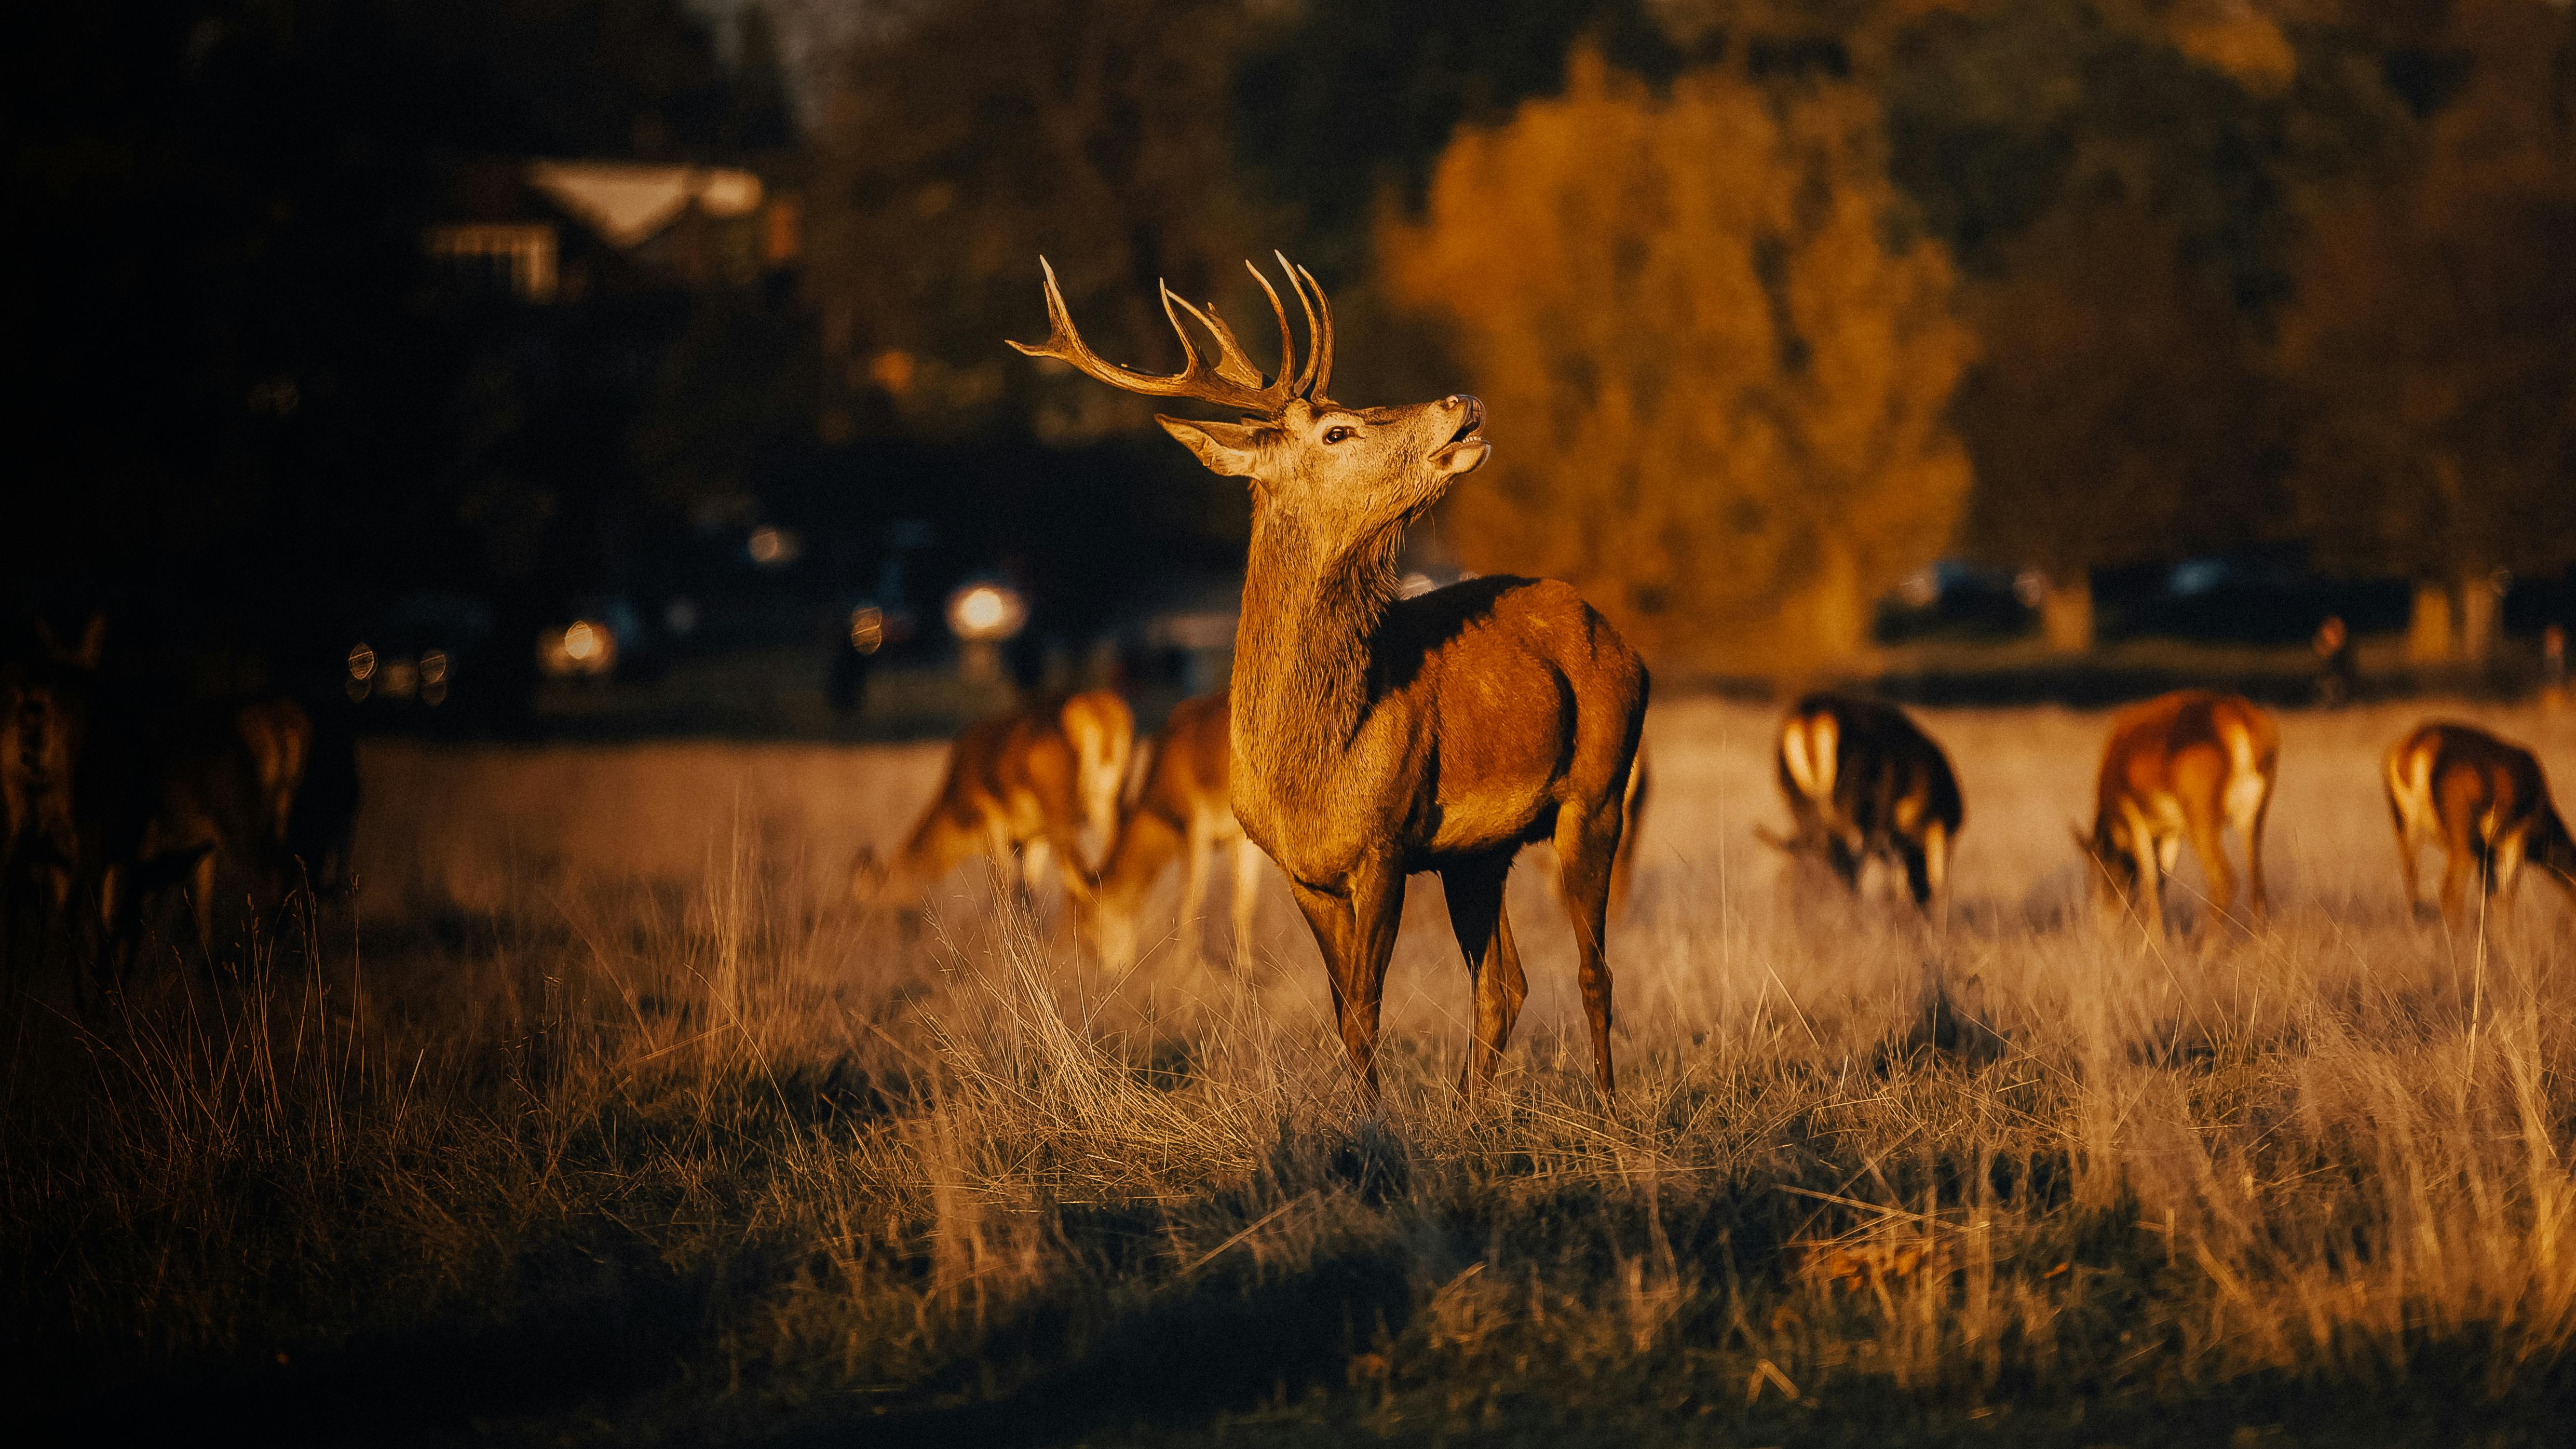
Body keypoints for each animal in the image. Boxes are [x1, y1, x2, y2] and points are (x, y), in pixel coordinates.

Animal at [850, 686, 1133, 908]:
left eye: (865, 892)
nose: (853, 919)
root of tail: (1090, 707)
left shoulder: (992, 827)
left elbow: (1000, 891)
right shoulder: (1035, 837)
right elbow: (1026, 892)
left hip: (1063, 820)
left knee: (1082, 879)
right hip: (1107, 806)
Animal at [1010, 256, 1648, 1093]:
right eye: (1337, 429)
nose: (1462, 401)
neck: (1313, 762)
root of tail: (1620, 640)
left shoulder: (1384, 842)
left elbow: (1366, 1010)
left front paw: (1376, 1120)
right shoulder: (1303, 869)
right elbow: (1345, 1015)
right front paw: (1367, 1113)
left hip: (1598, 788)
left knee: (1593, 971)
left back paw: (1605, 1109)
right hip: (1479, 850)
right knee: (1503, 985)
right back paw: (1471, 1110)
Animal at [1762, 690, 1958, 913]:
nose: (1923, 909)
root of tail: (1811, 712)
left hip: (1806, 805)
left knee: (1825, 848)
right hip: (1843, 807)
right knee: (1845, 856)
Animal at [2071, 686, 2277, 928]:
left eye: (2101, 869)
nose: (2107, 920)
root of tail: (2229, 714)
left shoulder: (2135, 823)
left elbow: (2150, 879)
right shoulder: (2171, 833)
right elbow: (2161, 880)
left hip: (2203, 829)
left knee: (2224, 882)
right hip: (2251, 823)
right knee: (2258, 884)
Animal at [2370, 716, 2576, 917]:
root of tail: (2416, 749)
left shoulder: (2486, 853)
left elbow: (2488, 898)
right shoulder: (2516, 841)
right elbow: (2505, 899)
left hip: (2406, 829)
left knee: (2412, 886)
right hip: (2461, 841)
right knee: (2450, 892)